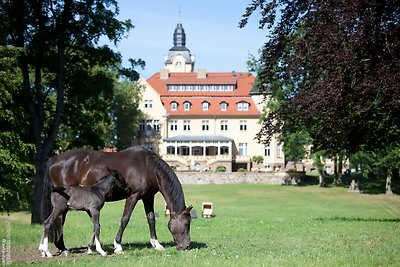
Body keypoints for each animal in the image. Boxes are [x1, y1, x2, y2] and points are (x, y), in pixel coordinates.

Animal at [41, 147, 193, 255]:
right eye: (186, 224)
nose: (186, 246)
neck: (148, 166)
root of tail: (54, 159)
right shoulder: (133, 196)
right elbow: (125, 219)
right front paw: (118, 245)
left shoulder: (148, 197)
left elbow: (151, 219)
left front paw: (157, 244)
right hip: (63, 204)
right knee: (59, 220)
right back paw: (62, 248)